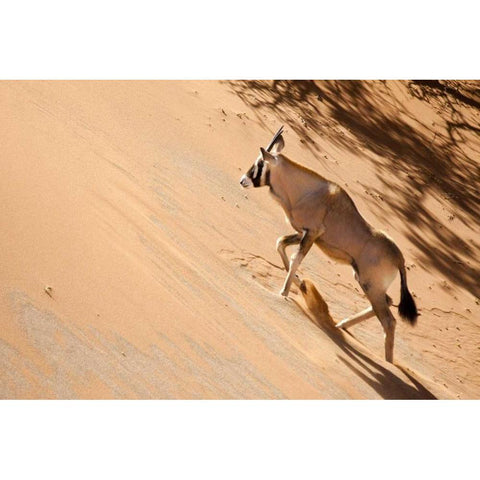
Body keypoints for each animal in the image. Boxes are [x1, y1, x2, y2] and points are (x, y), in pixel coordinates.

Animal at [239, 125, 416, 362]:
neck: (307, 191)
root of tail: (399, 258)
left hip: (370, 285)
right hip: (365, 281)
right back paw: (342, 325)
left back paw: (386, 363)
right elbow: (281, 244)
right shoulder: (305, 234)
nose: (243, 180)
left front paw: (284, 292)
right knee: (386, 303)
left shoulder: (312, 233)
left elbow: (295, 258)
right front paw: (300, 284)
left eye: (260, 163)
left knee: (389, 321)